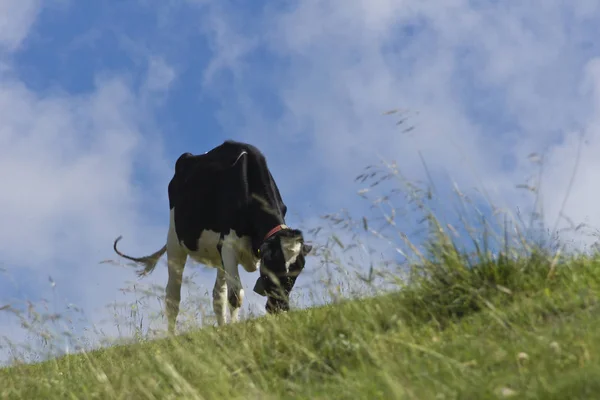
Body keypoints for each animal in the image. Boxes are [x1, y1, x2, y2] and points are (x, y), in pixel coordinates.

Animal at [111, 139, 314, 332]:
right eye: (272, 264)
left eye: (297, 270)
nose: (279, 307)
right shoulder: (229, 245)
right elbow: (235, 295)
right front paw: (235, 328)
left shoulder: (225, 250)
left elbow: (225, 296)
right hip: (175, 241)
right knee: (173, 297)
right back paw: (171, 335)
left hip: (217, 255)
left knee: (217, 296)